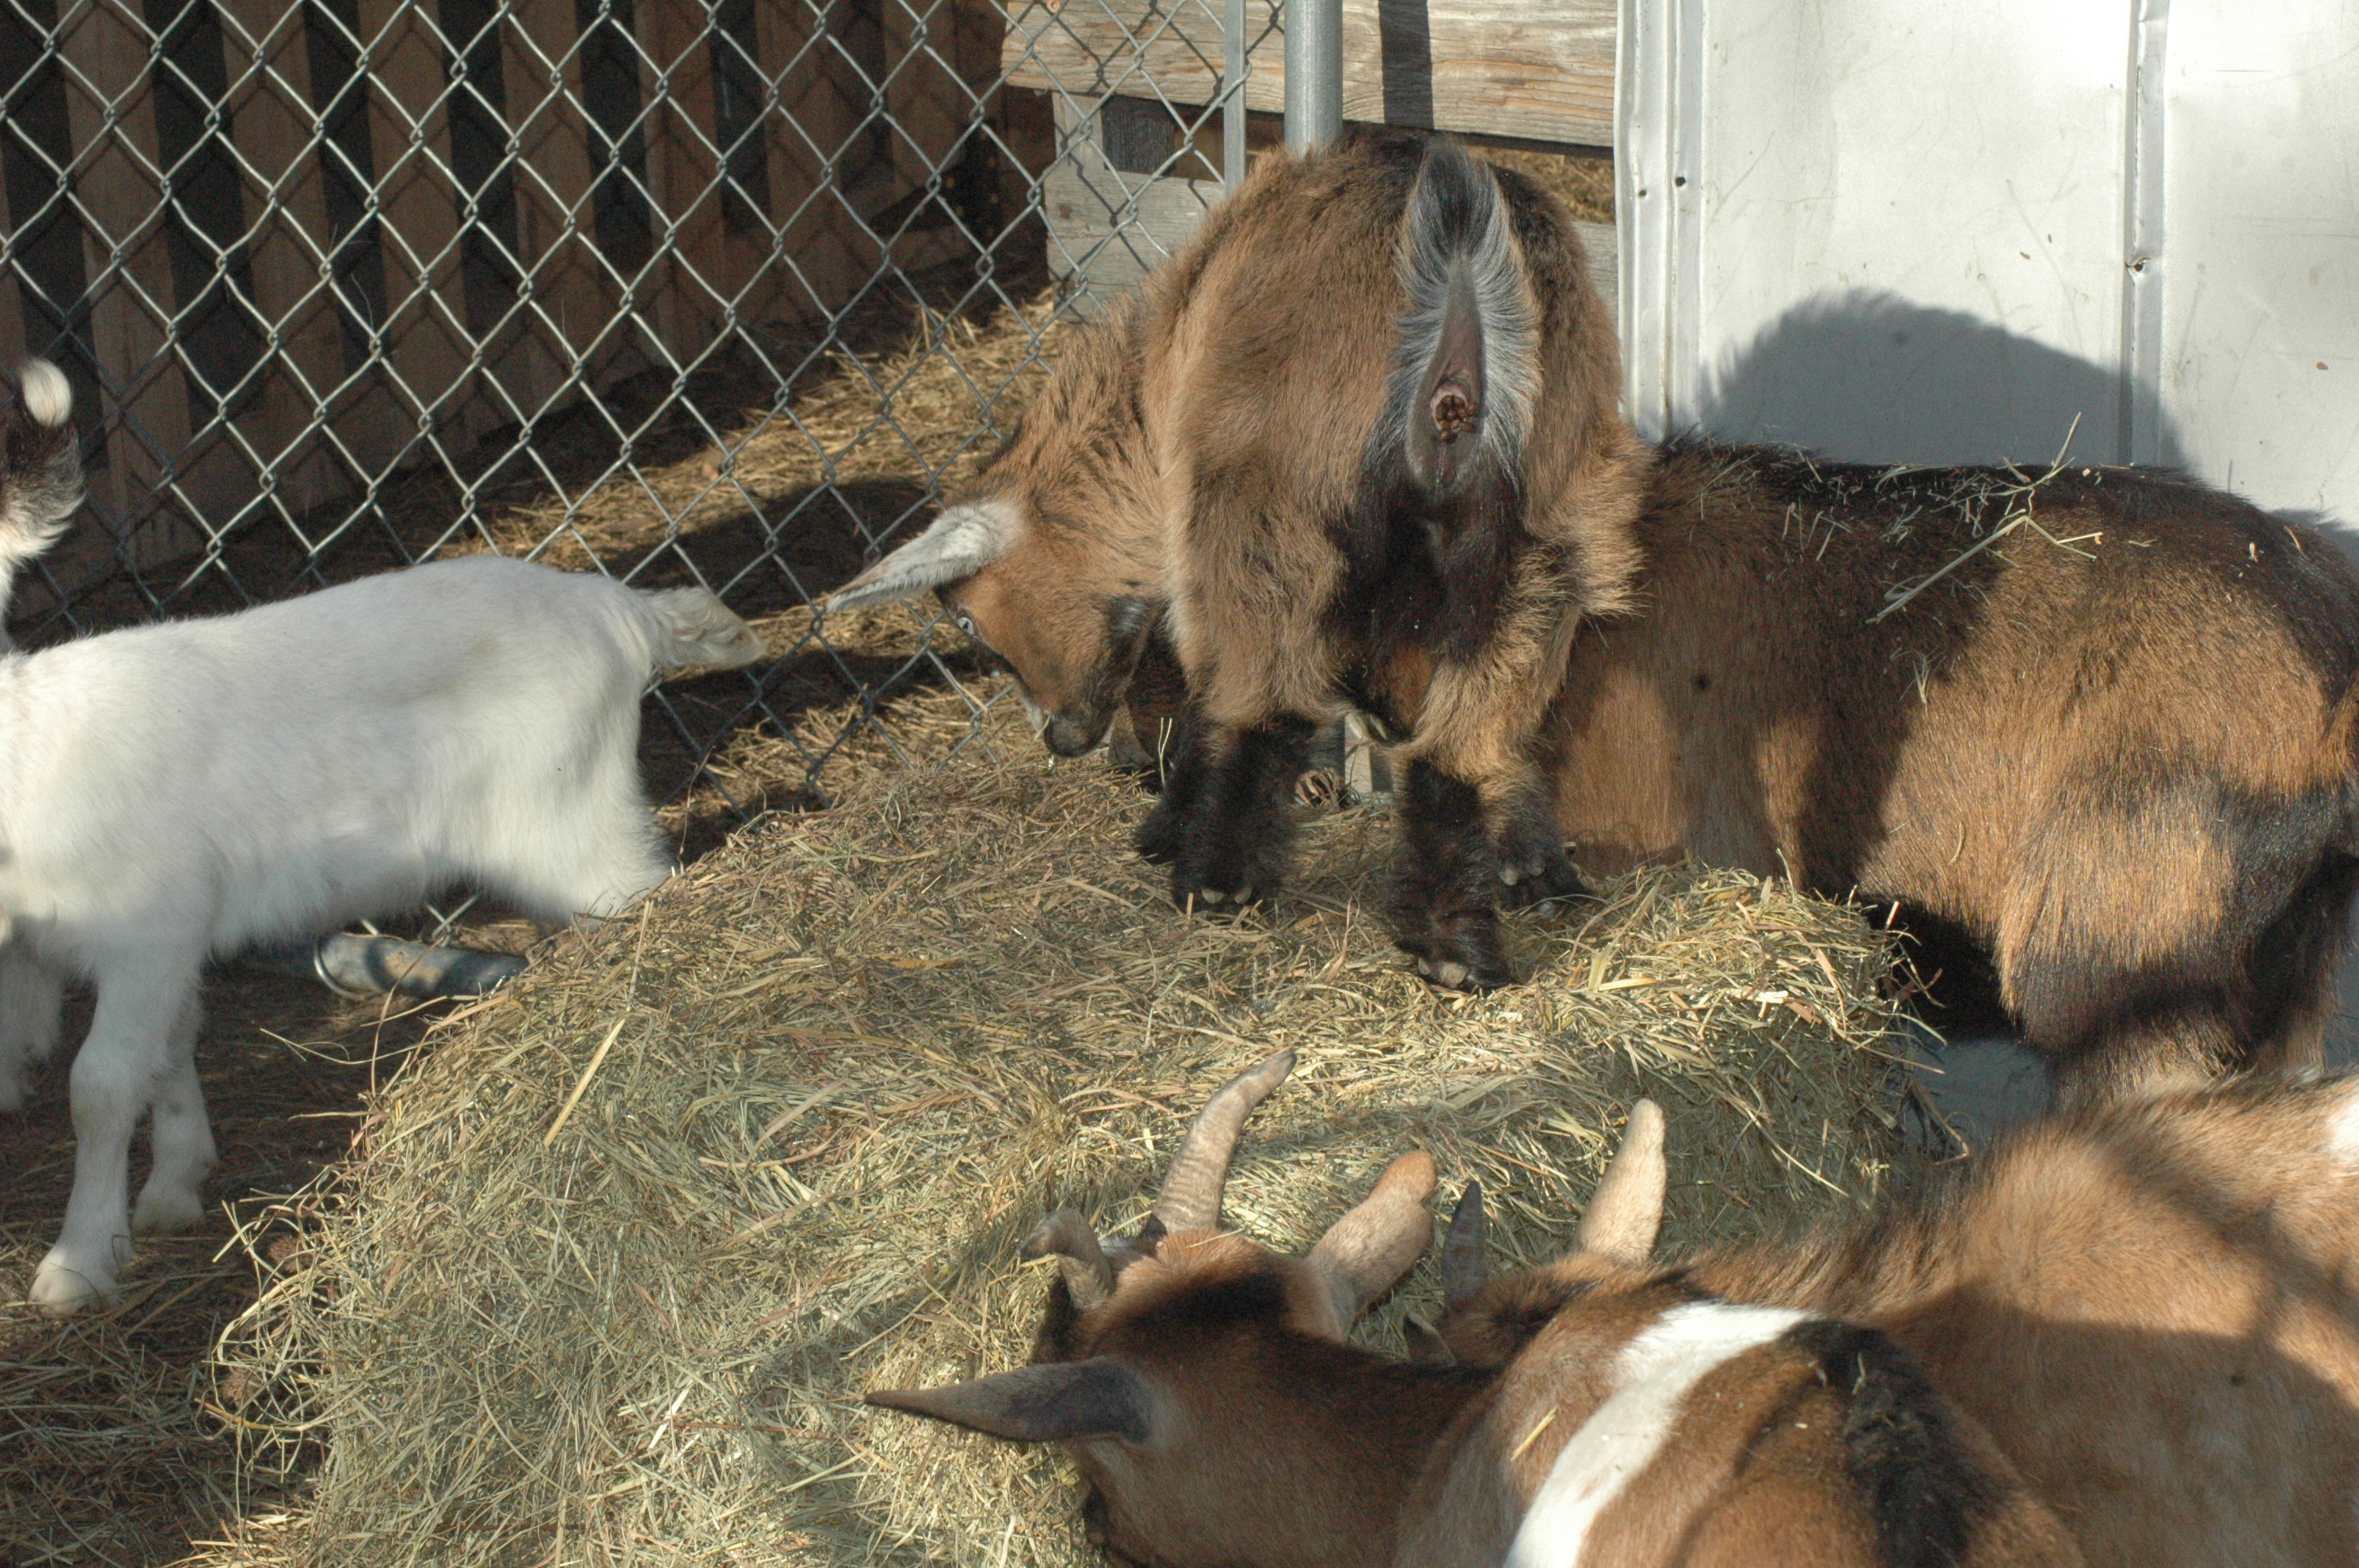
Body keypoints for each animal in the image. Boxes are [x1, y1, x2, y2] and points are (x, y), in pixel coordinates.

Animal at [0, 429, 766, 1311]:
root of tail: (618, 610)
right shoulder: (177, 937)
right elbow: (174, 1042)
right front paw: (175, 1186)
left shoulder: (144, 931)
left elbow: (101, 1086)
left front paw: (78, 1259)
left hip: (576, 827)